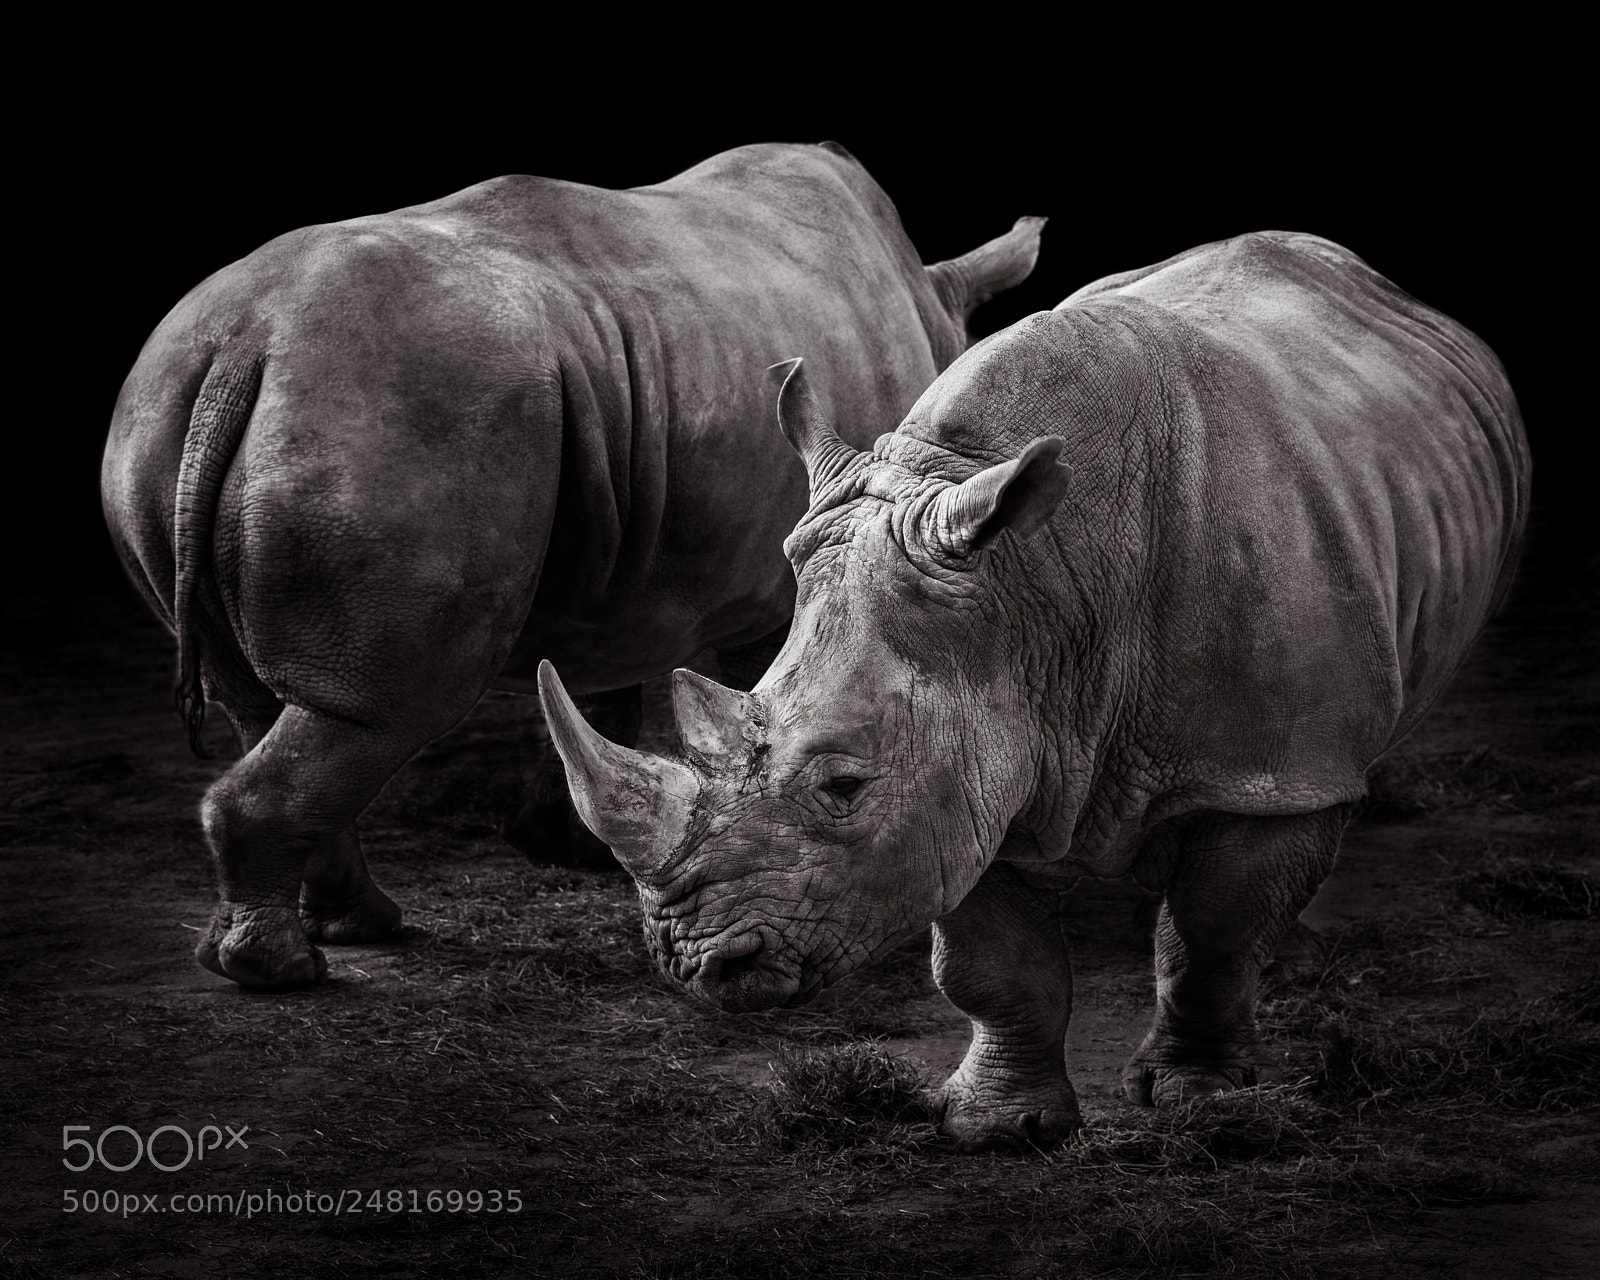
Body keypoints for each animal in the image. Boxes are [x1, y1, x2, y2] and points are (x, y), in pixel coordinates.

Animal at [100, 141, 1045, 990]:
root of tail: (241, 348)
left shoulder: (633, 573)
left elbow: (605, 686)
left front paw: (559, 847)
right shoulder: (794, 577)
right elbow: (764, 702)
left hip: (168, 410)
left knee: (270, 704)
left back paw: (345, 930)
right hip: (403, 417)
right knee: (384, 707)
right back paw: (285, 970)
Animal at [538, 231, 1531, 1151]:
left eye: (843, 788)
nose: (695, 964)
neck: (1036, 588)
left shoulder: (1268, 764)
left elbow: (1214, 935)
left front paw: (1201, 1099)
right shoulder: (965, 757)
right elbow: (992, 963)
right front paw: (1000, 1127)